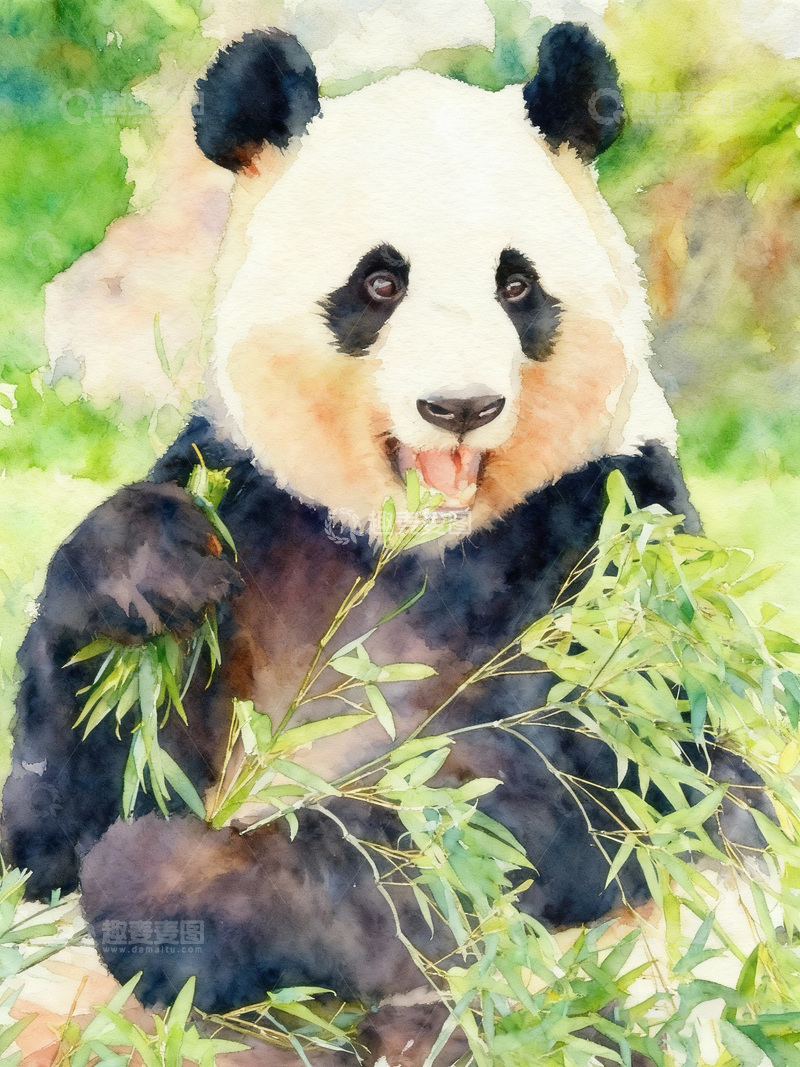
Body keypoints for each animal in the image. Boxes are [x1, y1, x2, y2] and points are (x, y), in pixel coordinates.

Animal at [1, 22, 765, 1066]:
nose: (460, 407)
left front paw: (170, 873)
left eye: (516, 284)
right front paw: (145, 568)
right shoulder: (258, 510)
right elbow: (57, 815)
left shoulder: (610, 537)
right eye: (379, 282)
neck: (411, 542)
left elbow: (573, 787)